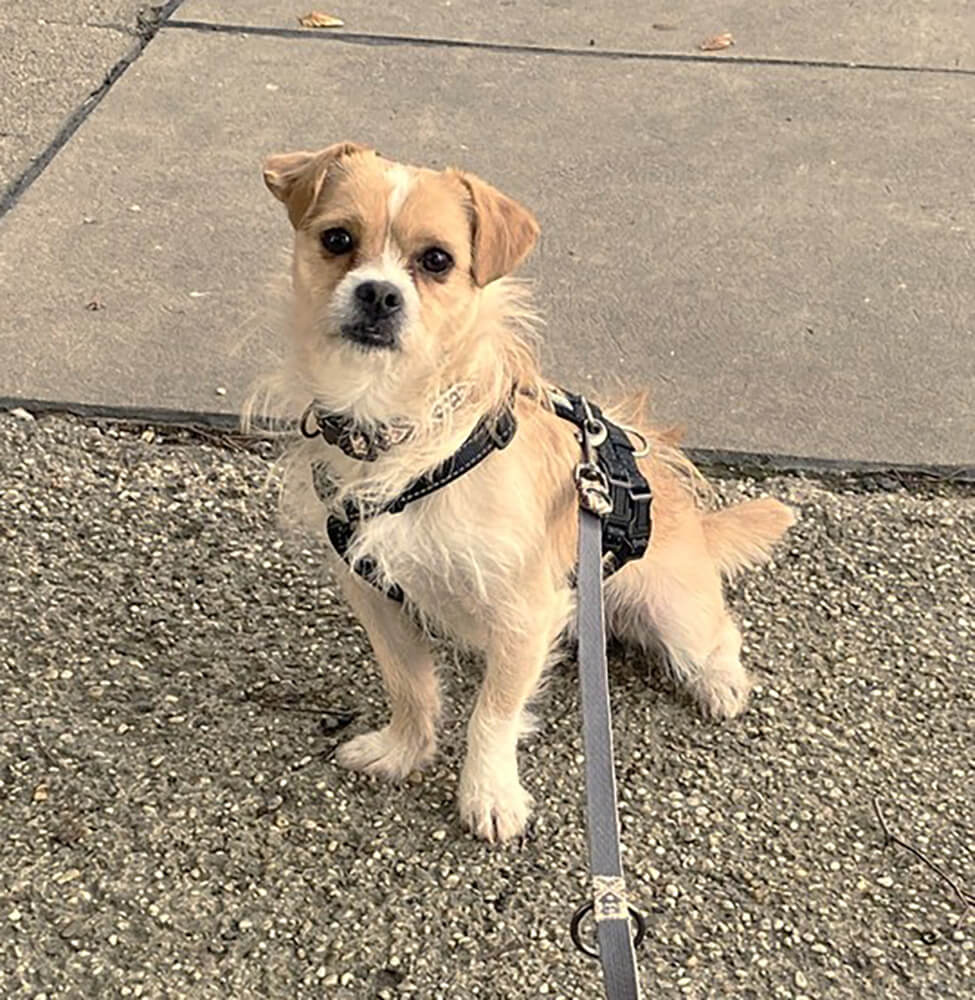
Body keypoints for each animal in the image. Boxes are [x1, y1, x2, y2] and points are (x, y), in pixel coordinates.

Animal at [254, 142, 795, 843]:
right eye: (337, 239)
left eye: (437, 260)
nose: (378, 293)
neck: (405, 428)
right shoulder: (376, 596)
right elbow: (409, 684)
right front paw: (404, 750)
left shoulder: (525, 613)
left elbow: (493, 713)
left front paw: (488, 794)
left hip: (673, 608)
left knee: (718, 634)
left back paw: (720, 680)